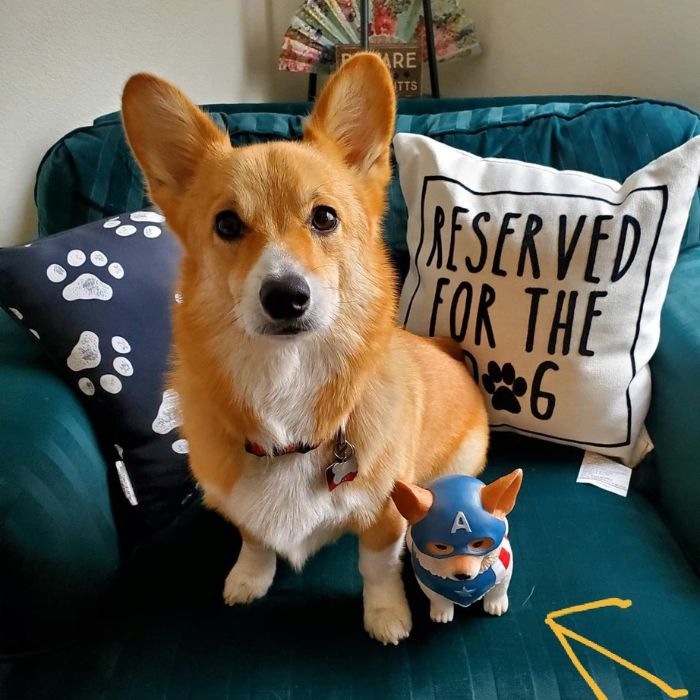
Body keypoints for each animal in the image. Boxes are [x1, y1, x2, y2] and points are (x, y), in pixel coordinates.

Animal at [120, 54, 490, 644]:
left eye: (324, 217)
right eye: (227, 223)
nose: (286, 296)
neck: (286, 379)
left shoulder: (384, 513)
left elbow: (376, 567)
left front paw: (386, 616)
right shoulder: (239, 504)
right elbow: (253, 539)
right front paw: (249, 578)